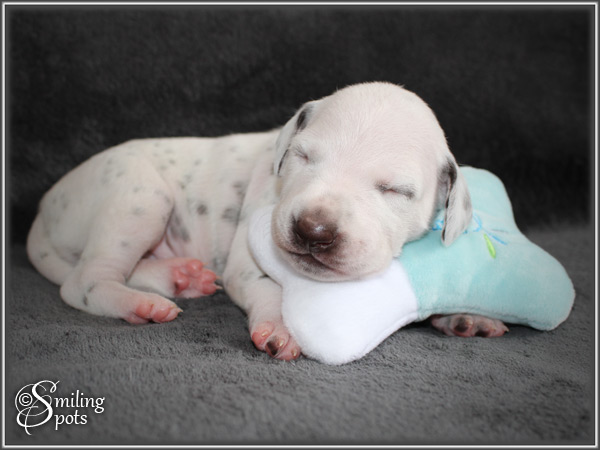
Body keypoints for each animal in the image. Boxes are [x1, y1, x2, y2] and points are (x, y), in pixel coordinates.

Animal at [27, 82, 508, 361]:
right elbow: (268, 287)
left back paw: (179, 276)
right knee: (86, 281)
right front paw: (280, 326)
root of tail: (43, 209)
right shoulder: (247, 260)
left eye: (395, 191)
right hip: (140, 196)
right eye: (303, 156)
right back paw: (140, 304)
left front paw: (466, 316)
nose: (313, 230)